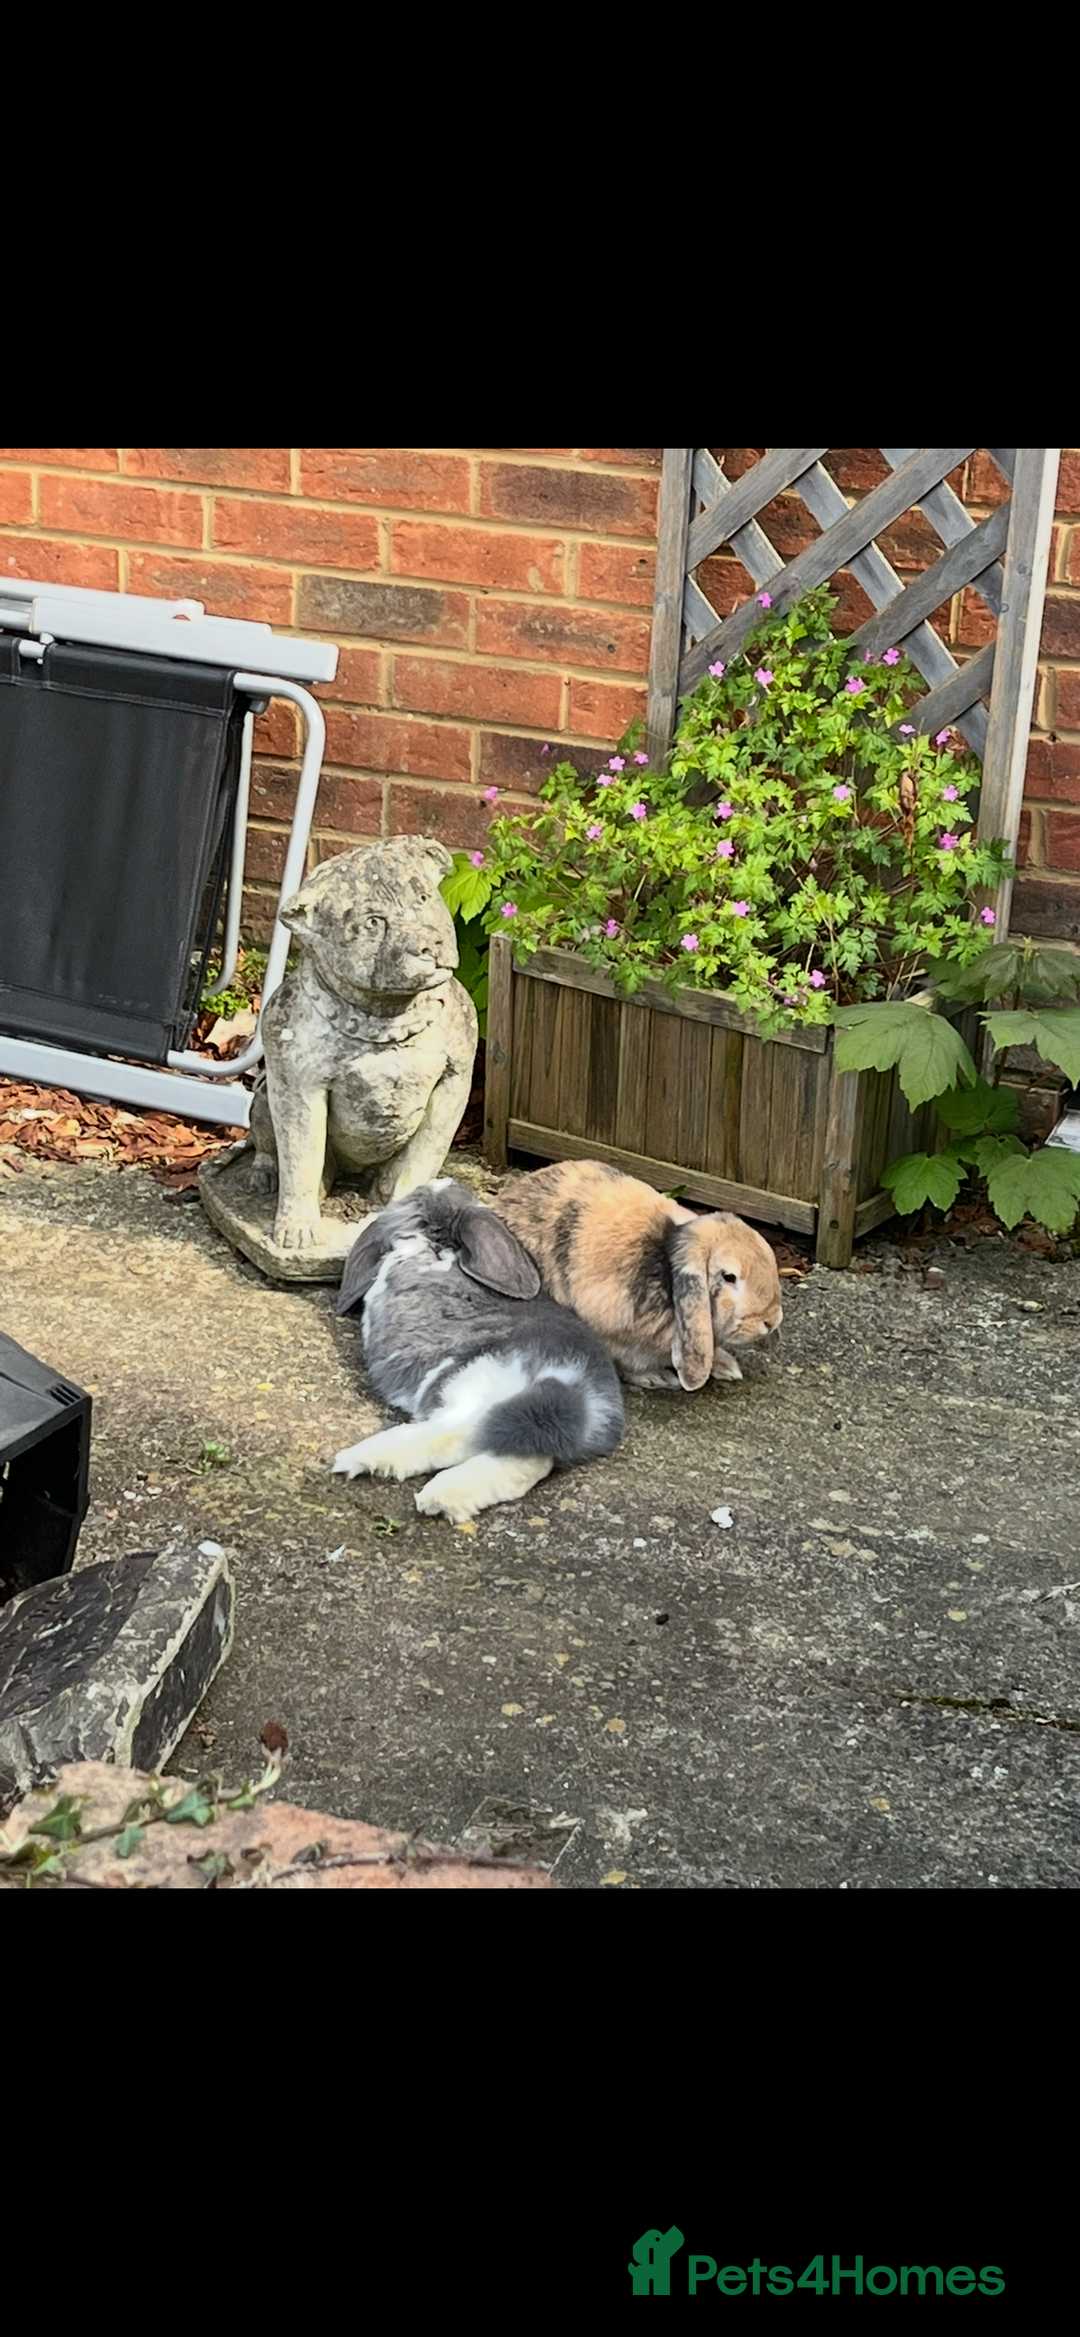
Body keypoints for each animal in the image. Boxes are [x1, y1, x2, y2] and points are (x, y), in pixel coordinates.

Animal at [332, 1178, 625, 1523]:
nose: (439, 1181)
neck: (436, 1243)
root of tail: (574, 1397)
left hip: (471, 1386)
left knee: (453, 1436)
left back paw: (361, 1461)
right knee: (524, 1461)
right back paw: (443, 1498)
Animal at [492, 1160, 783, 1393]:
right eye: (729, 1277)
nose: (771, 1321)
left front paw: (726, 1367)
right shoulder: (615, 1333)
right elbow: (631, 1363)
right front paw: (657, 1378)